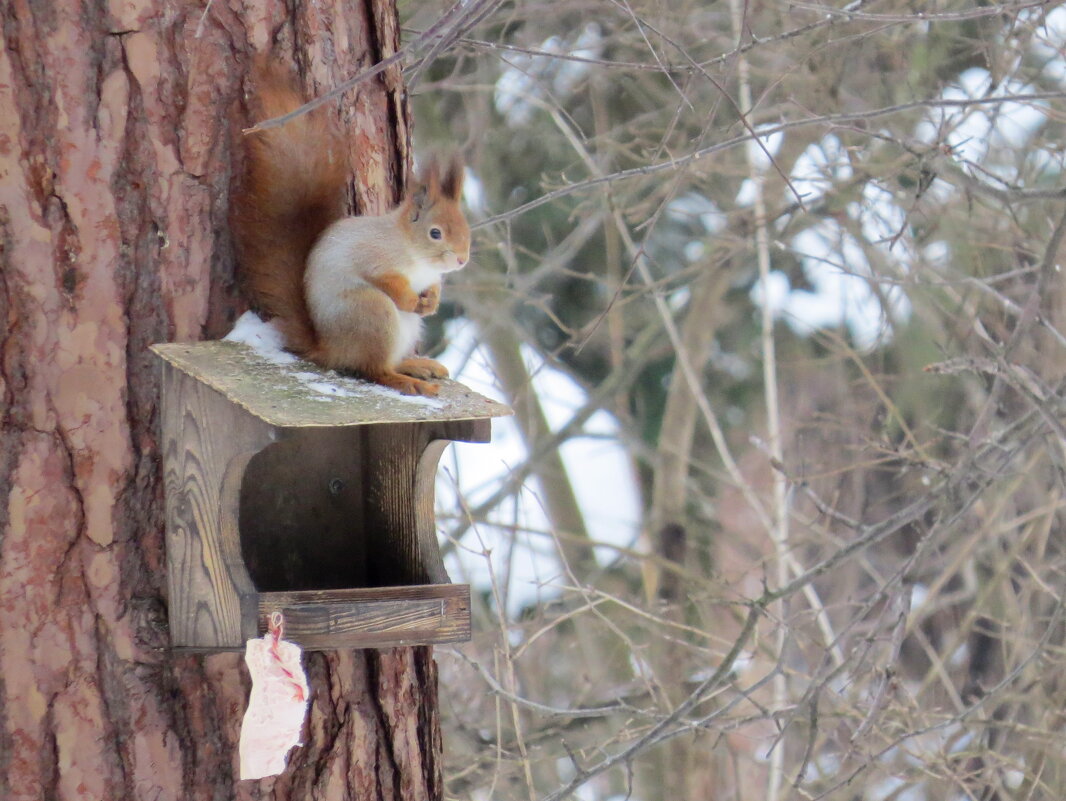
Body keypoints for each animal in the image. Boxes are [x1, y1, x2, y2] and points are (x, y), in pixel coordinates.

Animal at [231, 64, 469, 396]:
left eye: (465, 227)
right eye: (435, 233)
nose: (461, 259)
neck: (414, 254)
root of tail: (329, 348)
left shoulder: (432, 276)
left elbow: (434, 287)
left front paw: (431, 302)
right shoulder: (375, 257)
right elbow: (388, 281)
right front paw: (411, 300)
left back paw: (417, 366)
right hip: (373, 313)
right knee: (375, 369)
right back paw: (408, 381)